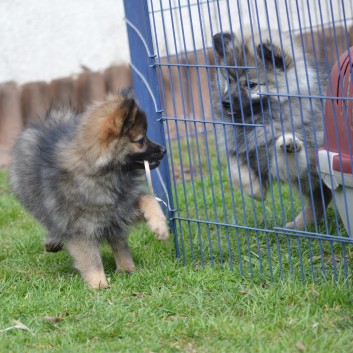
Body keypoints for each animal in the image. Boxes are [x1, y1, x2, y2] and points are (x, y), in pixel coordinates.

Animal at [212, 30, 330, 228]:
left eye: (251, 85)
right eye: (229, 80)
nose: (225, 102)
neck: (259, 120)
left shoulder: (297, 164)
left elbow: (286, 157)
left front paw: (288, 143)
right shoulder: (239, 151)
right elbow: (236, 171)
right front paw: (257, 191)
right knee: (318, 201)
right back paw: (299, 225)